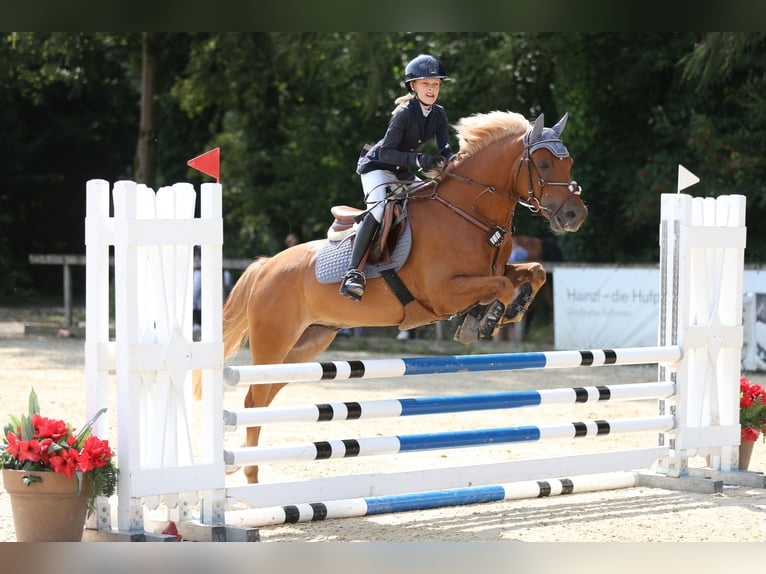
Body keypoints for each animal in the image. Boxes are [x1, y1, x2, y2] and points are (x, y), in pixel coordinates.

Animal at [201, 110, 584, 484]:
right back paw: (250, 474)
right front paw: (485, 320)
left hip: (307, 345)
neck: (468, 212)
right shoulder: (443, 294)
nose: (575, 215)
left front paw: (509, 309)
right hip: (274, 342)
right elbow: (501, 287)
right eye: (544, 163)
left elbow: (534, 272)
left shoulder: (493, 271)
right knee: (253, 400)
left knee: (264, 394)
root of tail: (265, 266)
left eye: (569, 163)